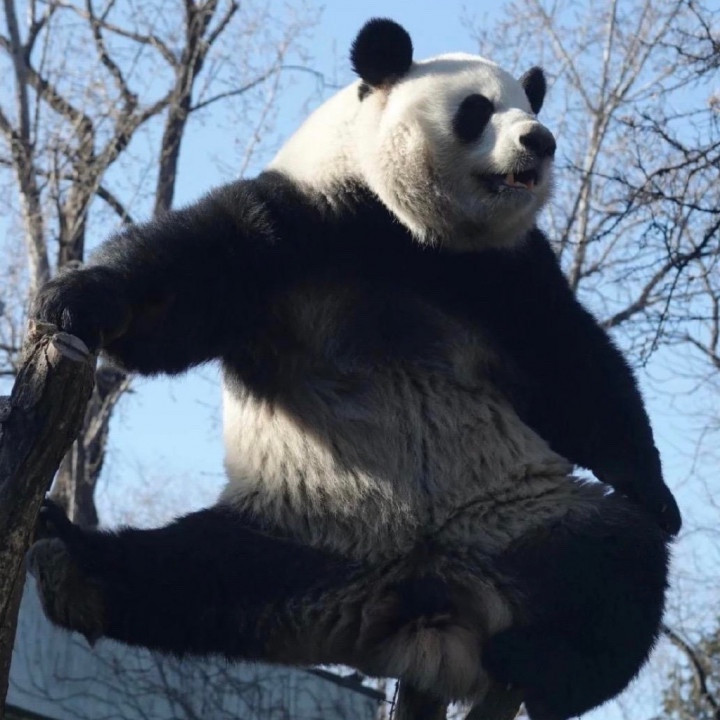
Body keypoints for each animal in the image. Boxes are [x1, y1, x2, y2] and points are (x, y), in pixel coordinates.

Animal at [28, 18, 680, 720]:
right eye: (477, 109)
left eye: (530, 106)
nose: (539, 139)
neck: (407, 231)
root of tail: (418, 598)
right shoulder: (300, 225)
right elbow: (176, 296)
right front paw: (75, 299)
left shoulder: (504, 274)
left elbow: (573, 367)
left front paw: (660, 495)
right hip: (305, 530)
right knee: (187, 575)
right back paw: (70, 565)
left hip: (515, 516)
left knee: (615, 561)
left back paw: (538, 663)